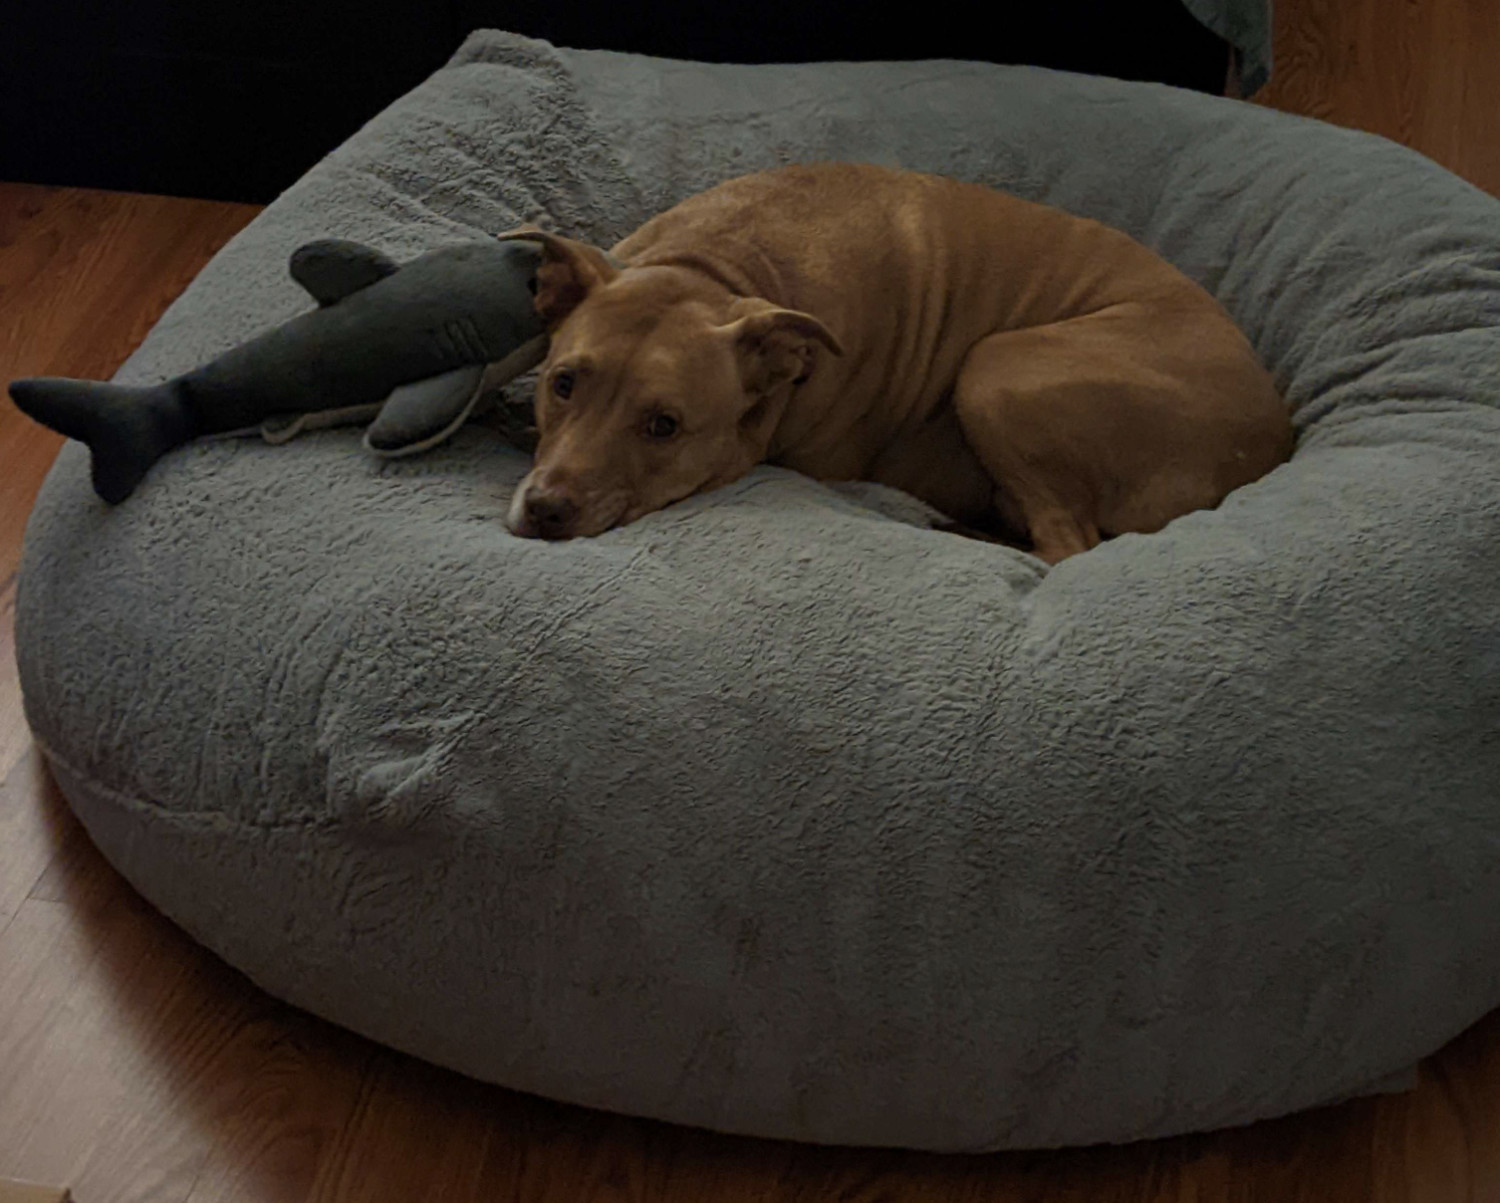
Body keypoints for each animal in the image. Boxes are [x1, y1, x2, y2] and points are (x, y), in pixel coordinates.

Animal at [501, 160, 1290, 564]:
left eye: (664, 425)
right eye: (563, 384)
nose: (545, 509)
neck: (722, 266)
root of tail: (1271, 447)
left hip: (996, 367)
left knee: (1068, 546)